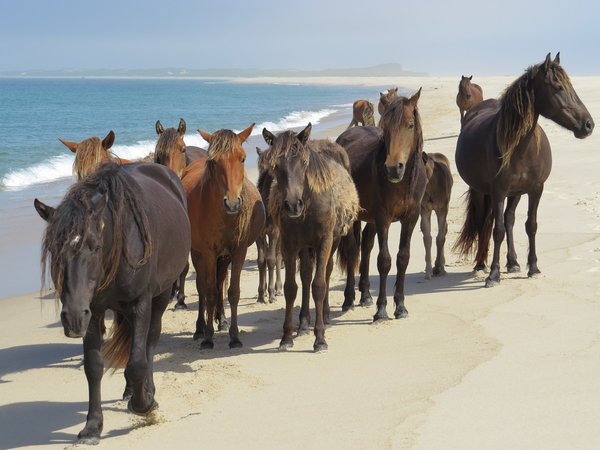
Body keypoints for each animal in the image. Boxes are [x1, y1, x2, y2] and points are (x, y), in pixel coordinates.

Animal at [41, 162, 190, 442]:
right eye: (55, 250)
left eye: (94, 246)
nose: (72, 318)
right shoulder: (92, 311)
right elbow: (93, 367)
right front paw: (92, 425)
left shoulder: (141, 302)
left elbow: (137, 362)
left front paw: (144, 405)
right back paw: (131, 390)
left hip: (161, 295)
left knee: (149, 342)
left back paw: (147, 391)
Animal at [180, 125, 264, 350]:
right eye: (214, 162)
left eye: (243, 159)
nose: (233, 203)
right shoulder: (208, 253)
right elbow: (208, 291)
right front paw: (208, 337)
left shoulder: (238, 251)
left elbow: (232, 292)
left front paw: (234, 336)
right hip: (198, 253)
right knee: (203, 286)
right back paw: (200, 328)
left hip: (224, 257)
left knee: (220, 283)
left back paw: (222, 320)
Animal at [264, 123, 358, 352]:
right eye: (275, 165)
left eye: (304, 162)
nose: (292, 205)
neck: (308, 202)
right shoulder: (289, 245)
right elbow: (291, 287)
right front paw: (286, 337)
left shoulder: (324, 241)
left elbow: (319, 285)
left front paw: (320, 338)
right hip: (305, 247)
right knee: (306, 275)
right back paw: (304, 322)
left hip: (334, 241)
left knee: (326, 272)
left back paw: (325, 314)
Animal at [338, 89, 426, 320]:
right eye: (385, 128)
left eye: (410, 125)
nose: (394, 168)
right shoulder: (382, 218)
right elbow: (384, 261)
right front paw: (382, 309)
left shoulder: (411, 218)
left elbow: (403, 258)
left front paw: (401, 306)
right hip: (354, 216)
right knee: (352, 250)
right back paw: (348, 299)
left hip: (369, 219)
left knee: (366, 246)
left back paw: (365, 295)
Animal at [454, 51, 596, 286]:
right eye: (558, 87)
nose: (588, 125)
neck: (519, 148)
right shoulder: (498, 191)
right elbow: (498, 230)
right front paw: (494, 274)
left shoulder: (535, 189)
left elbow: (530, 225)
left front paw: (533, 267)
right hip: (482, 191)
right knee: (485, 221)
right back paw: (481, 264)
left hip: (516, 193)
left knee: (509, 219)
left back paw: (512, 263)